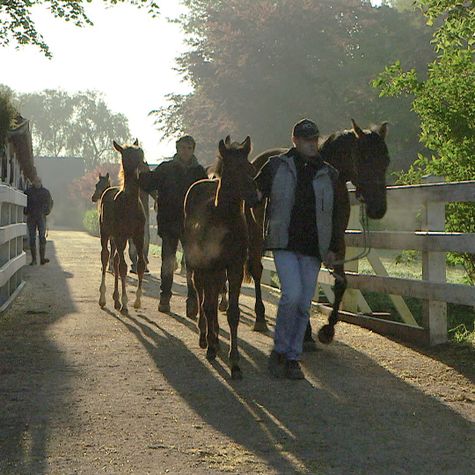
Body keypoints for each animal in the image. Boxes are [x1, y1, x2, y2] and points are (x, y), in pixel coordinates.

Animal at [98, 139, 145, 314]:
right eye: (127, 156)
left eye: (141, 153)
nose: (140, 169)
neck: (129, 204)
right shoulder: (119, 235)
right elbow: (124, 267)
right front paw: (125, 302)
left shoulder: (138, 236)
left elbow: (140, 265)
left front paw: (137, 301)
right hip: (106, 233)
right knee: (106, 257)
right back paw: (104, 298)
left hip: (119, 239)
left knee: (116, 260)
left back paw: (116, 299)